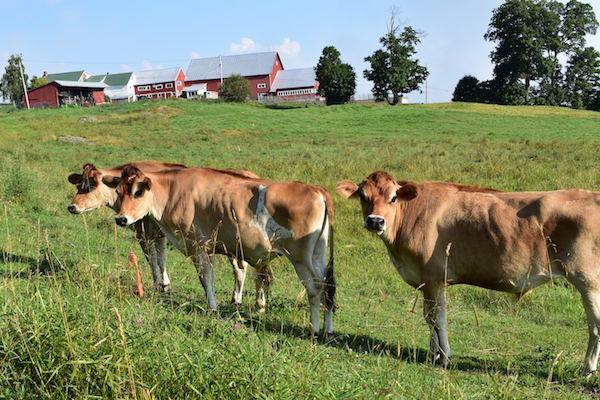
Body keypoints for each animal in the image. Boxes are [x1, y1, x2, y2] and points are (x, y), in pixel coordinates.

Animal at [66, 162, 268, 304]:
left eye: (91, 185)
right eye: (78, 185)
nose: (71, 207)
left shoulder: (144, 233)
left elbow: (152, 259)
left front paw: (159, 284)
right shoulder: (160, 234)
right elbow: (162, 257)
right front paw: (165, 285)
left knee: (243, 268)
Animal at [105, 166, 336, 338]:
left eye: (138, 192)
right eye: (119, 192)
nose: (121, 219)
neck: (172, 191)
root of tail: (316, 190)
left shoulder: (197, 246)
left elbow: (206, 278)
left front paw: (212, 307)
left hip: (301, 258)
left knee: (315, 287)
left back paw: (315, 329)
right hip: (317, 255)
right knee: (328, 287)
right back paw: (328, 330)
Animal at [338, 170, 600, 376]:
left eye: (393, 197)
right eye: (363, 196)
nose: (375, 221)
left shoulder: (434, 278)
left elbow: (438, 318)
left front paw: (444, 357)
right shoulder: (425, 281)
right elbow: (427, 316)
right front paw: (433, 352)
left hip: (588, 280)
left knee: (595, 323)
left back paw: (587, 369)